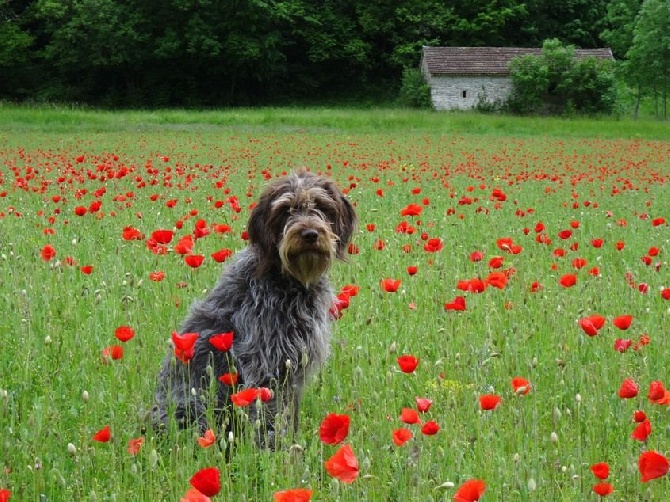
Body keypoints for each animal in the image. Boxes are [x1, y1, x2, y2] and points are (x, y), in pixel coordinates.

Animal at [152, 171, 356, 450]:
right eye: (285, 210)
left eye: (321, 206)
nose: (310, 233)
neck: (289, 279)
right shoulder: (265, 369)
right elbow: (270, 422)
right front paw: (276, 456)